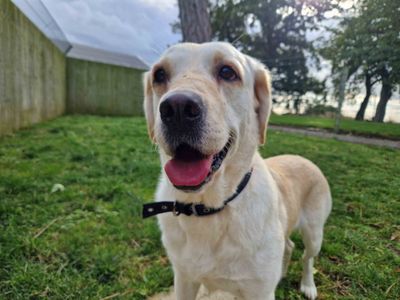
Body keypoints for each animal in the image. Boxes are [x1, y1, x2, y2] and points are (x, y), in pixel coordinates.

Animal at [143, 42, 332, 300]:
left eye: (227, 72)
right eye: (159, 75)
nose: (177, 108)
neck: (208, 207)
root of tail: (303, 157)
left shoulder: (260, 291)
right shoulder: (183, 279)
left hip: (314, 233)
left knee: (308, 257)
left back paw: (308, 285)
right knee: (290, 246)